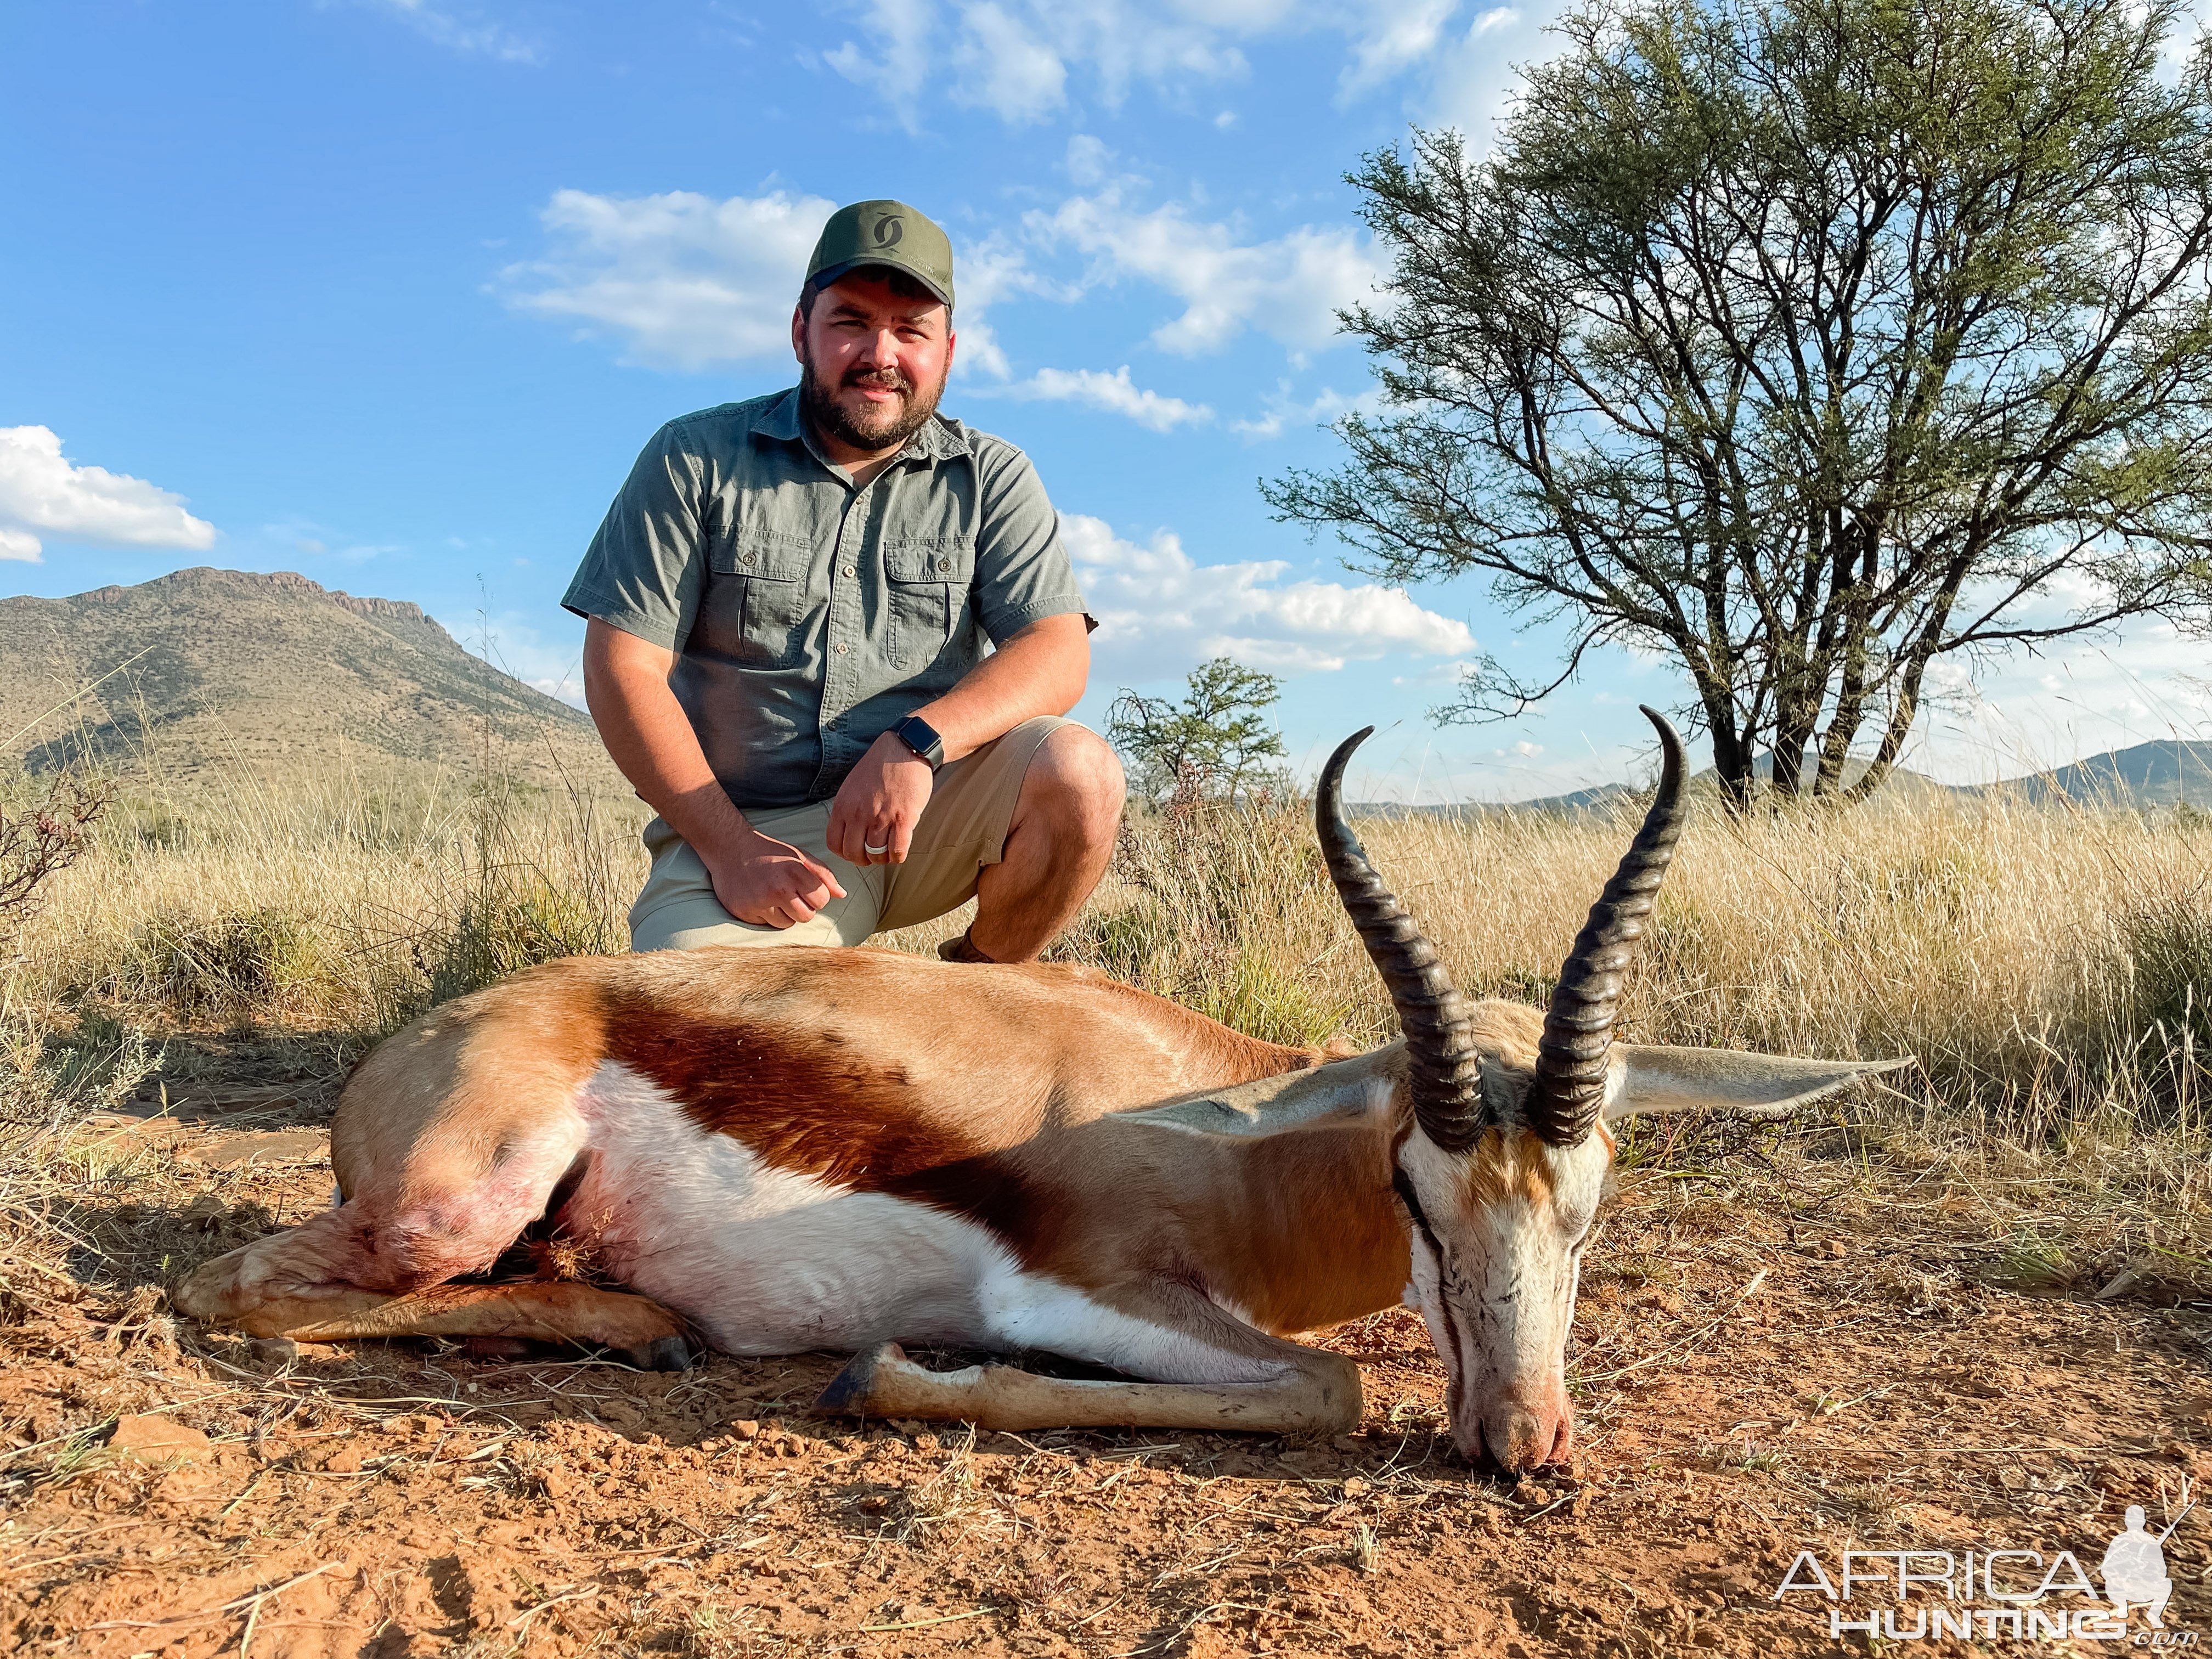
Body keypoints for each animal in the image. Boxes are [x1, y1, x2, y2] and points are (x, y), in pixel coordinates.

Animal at [177, 712, 1902, 1469]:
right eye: (1414, 1185)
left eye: (1592, 1205)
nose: (1525, 1440)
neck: (1228, 1143)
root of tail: (423, 1035)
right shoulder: (1075, 1291)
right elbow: (1325, 1387)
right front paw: (884, 1379)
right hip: (457, 1201)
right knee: (232, 1286)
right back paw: (653, 1325)